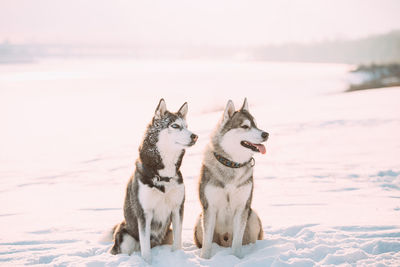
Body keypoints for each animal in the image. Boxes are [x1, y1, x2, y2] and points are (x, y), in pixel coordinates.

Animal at [109, 99, 197, 264]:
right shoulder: (144, 214)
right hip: (126, 238)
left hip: (167, 233)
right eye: (175, 126)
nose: (195, 136)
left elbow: (178, 241)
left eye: (187, 126)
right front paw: (147, 262)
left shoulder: (177, 208)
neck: (163, 176)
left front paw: (177, 256)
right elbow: (145, 248)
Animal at [194, 98, 268, 260]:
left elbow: (237, 242)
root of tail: (225, 238)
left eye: (256, 124)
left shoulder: (242, 207)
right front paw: (205, 259)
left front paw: (236, 258)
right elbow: (207, 243)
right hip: (199, 220)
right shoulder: (209, 207)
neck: (232, 164)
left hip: (252, 216)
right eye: (245, 126)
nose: (266, 134)